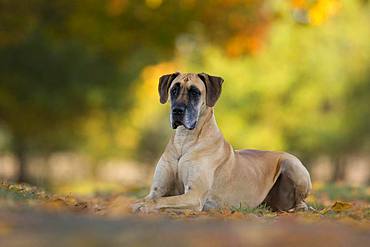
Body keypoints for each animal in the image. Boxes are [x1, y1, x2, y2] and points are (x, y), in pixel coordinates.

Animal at [134, 72, 312, 213]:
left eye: (195, 92)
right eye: (174, 90)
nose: (177, 110)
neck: (184, 140)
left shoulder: (194, 195)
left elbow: (158, 200)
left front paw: (142, 206)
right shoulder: (157, 190)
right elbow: (150, 197)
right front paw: (137, 203)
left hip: (293, 164)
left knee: (301, 202)